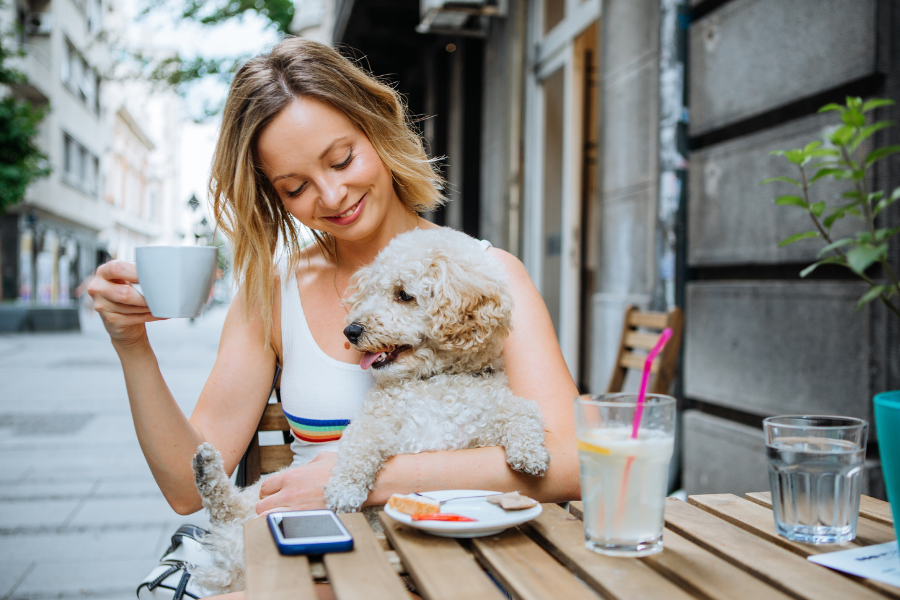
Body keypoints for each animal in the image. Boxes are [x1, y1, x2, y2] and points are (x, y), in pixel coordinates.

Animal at [190, 230, 548, 596]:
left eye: (403, 295)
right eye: (371, 292)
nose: (351, 330)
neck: (434, 380)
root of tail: (232, 557)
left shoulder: (486, 416)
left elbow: (523, 411)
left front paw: (531, 454)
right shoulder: (378, 422)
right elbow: (359, 447)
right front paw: (344, 489)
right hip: (264, 489)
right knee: (228, 505)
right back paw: (206, 467)